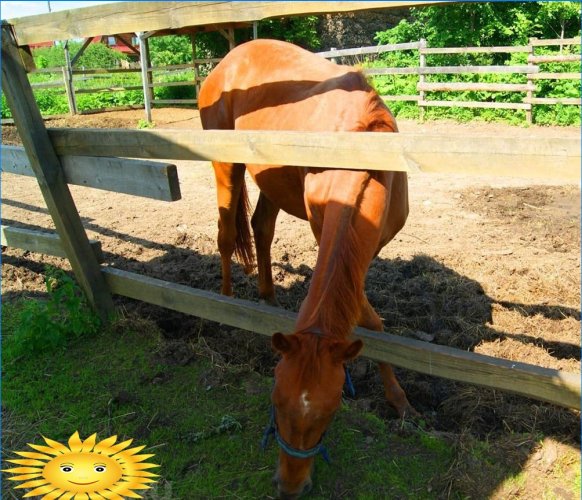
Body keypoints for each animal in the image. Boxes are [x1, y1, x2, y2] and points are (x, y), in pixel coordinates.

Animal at [200, 40, 416, 500]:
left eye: (328, 414)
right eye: (275, 403)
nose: (289, 486)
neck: (361, 156)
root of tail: (228, 60)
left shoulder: (369, 250)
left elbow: (372, 323)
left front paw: (399, 400)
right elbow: (371, 321)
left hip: (271, 179)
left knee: (262, 228)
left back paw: (267, 298)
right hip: (226, 164)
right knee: (226, 236)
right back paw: (226, 305)